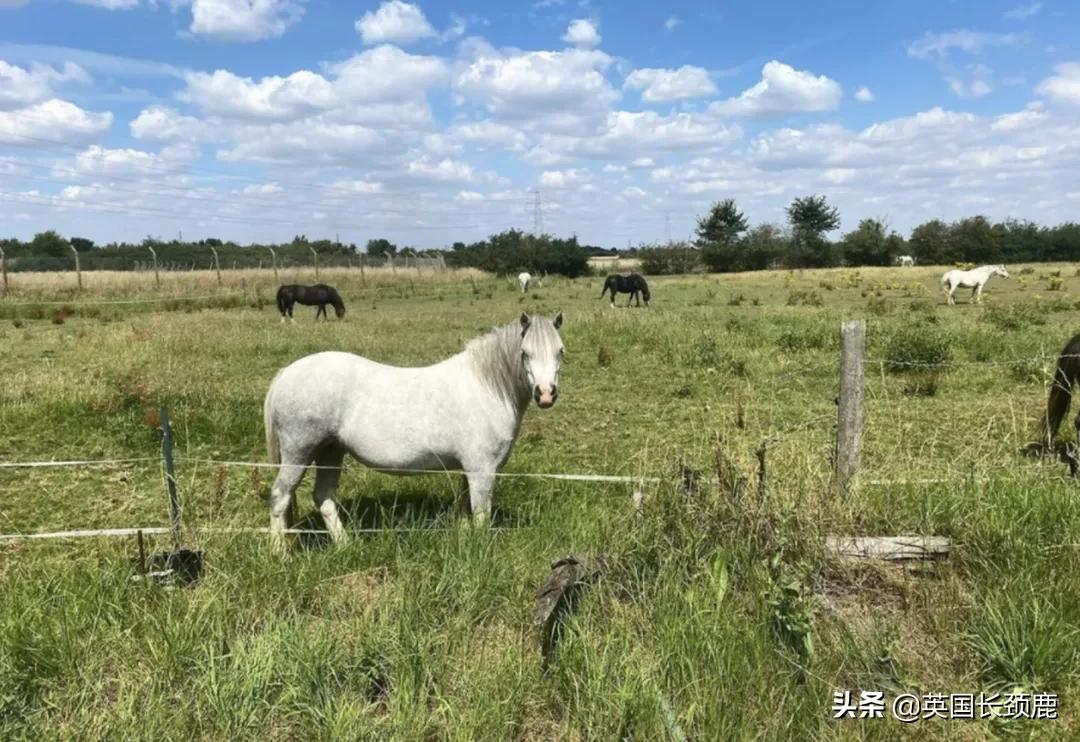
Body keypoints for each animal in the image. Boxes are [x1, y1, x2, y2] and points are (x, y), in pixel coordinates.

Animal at [263, 311, 565, 548]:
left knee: (323, 498)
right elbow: (480, 516)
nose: (546, 394)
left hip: (330, 452)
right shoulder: (482, 470)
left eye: (560, 351)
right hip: (299, 453)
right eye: (525, 353)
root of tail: (286, 373)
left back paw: (345, 545)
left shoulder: (467, 470)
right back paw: (280, 553)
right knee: (280, 497)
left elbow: (464, 510)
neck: (486, 387)